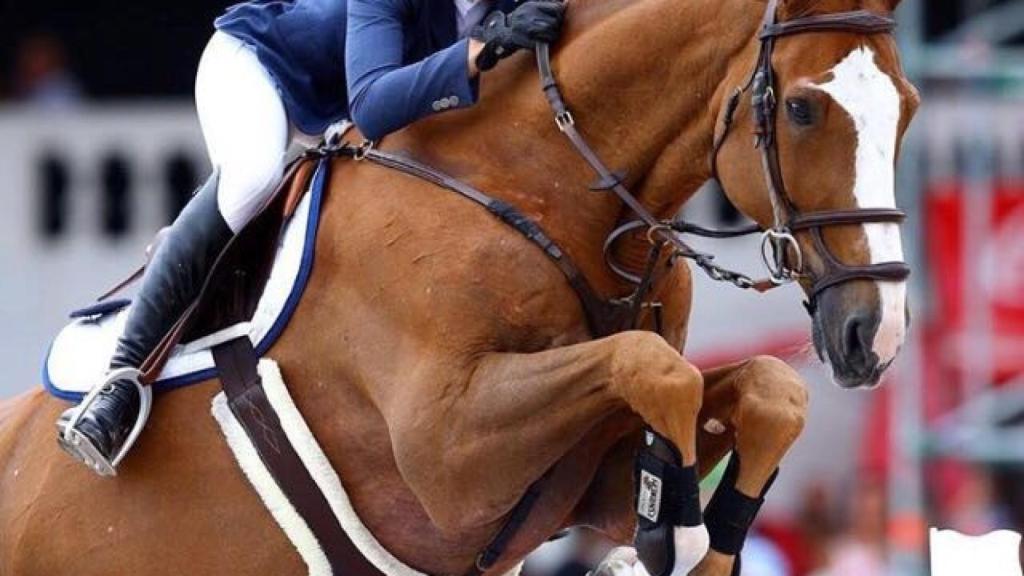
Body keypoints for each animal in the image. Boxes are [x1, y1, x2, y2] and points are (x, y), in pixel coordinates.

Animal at [0, 0, 918, 574]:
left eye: (908, 107)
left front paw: (702, 536)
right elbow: (652, 367)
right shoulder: (446, 455)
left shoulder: (572, 477)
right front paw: (679, 537)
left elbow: (762, 389)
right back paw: (104, 416)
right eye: (801, 109)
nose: (876, 336)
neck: (538, 181)